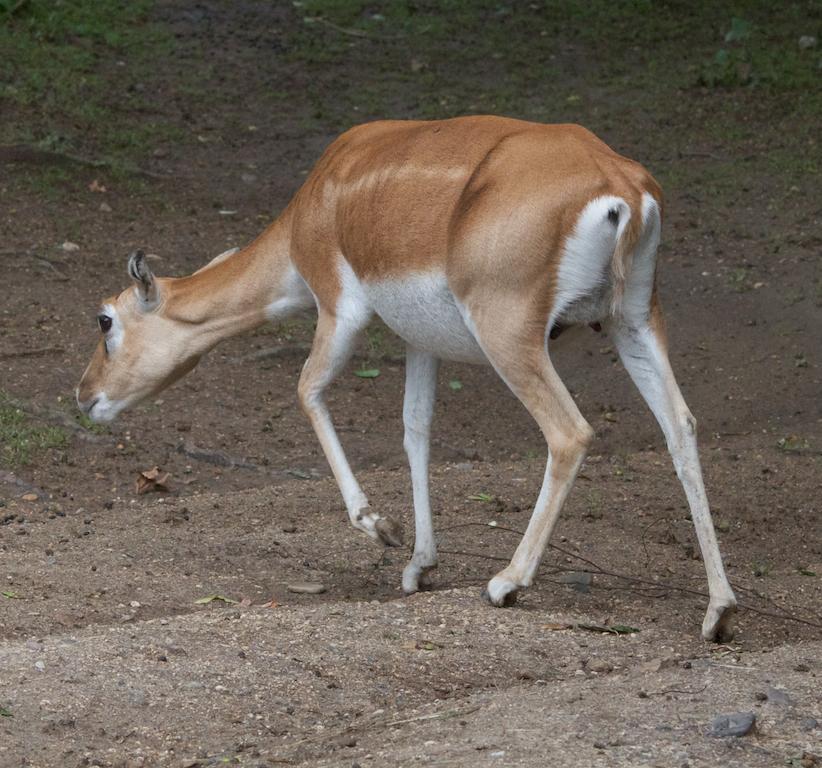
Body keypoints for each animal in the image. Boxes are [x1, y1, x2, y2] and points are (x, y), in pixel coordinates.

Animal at [76, 115, 737, 642]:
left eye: (105, 319)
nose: (84, 397)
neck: (316, 207)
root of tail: (622, 188)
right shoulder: (421, 341)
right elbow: (415, 430)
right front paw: (420, 565)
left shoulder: (339, 308)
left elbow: (306, 390)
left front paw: (382, 529)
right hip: (633, 320)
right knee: (681, 425)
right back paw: (719, 613)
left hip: (509, 332)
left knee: (570, 432)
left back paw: (506, 583)